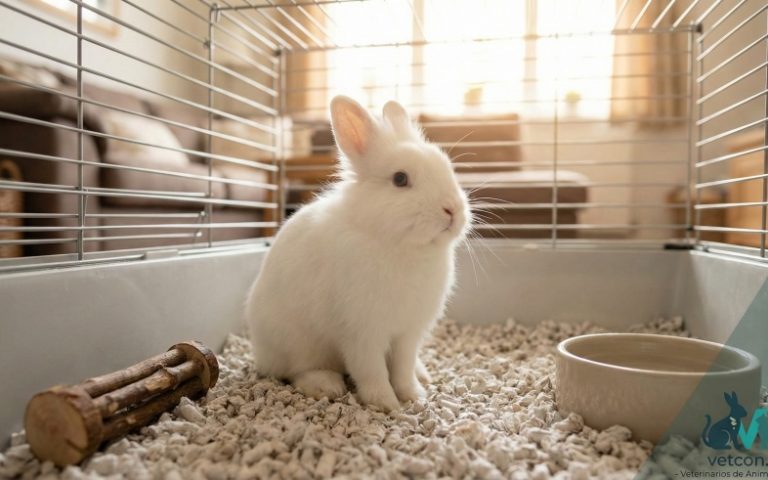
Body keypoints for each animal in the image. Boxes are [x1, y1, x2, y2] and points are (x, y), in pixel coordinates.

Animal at [245, 95, 470, 412]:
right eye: (400, 179)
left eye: (447, 167)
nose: (453, 209)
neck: (400, 245)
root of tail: (262, 353)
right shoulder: (362, 332)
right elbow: (372, 371)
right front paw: (387, 405)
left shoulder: (408, 334)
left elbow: (402, 368)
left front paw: (414, 396)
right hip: (297, 343)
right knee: (297, 370)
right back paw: (326, 385)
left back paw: (423, 374)